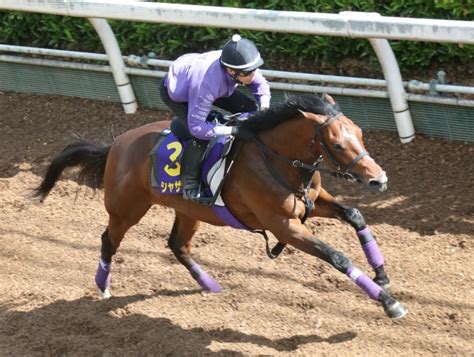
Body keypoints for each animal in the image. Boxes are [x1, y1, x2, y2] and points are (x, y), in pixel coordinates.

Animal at [35, 94, 408, 318]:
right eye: (337, 144)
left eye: (360, 133)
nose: (379, 180)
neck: (276, 159)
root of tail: (116, 145)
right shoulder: (284, 226)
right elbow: (337, 256)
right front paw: (389, 303)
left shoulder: (311, 204)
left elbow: (355, 214)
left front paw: (381, 272)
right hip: (127, 208)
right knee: (108, 241)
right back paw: (103, 287)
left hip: (189, 210)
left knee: (178, 245)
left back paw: (211, 285)